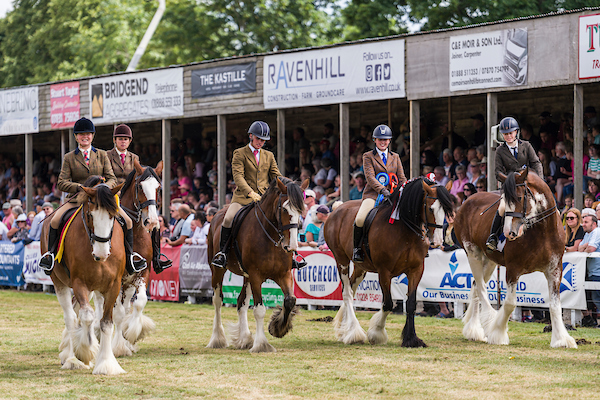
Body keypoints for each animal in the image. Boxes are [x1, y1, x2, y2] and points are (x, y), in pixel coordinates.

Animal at [41, 181, 128, 376]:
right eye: (90, 215)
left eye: (113, 216)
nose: (101, 253)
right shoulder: (79, 283)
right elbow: (87, 316)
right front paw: (85, 351)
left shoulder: (113, 285)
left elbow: (106, 323)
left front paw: (106, 363)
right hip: (60, 283)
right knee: (71, 317)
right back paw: (71, 358)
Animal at [207, 177, 310, 352]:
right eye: (284, 209)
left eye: (301, 210)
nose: (292, 246)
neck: (271, 236)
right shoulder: (256, 276)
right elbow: (259, 310)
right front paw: (261, 344)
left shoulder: (284, 274)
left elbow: (290, 300)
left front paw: (278, 328)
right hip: (217, 271)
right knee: (218, 301)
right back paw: (217, 339)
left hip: (246, 276)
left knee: (241, 302)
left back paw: (245, 339)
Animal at [326, 178, 452, 346]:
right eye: (431, 209)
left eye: (446, 210)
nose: (437, 242)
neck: (405, 229)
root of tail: (337, 210)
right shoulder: (384, 272)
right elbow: (388, 304)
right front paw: (376, 333)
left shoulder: (416, 270)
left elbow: (410, 304)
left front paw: (411, 339)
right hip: (341, 260)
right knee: (347, 293)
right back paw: (353, 332)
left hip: (361, 267)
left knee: (351, 289)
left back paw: (344, 329)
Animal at [454, 166, 576, 346]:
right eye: (504, 200)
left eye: (519, 197)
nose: (508, 233)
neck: (542, 231)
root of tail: (468, 200)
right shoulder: (513, 269)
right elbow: (510, 303)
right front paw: (498, 333)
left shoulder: (555, 270)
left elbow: (555, 305)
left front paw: (561, 339)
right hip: (472, 253)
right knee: (481, 288)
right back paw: (485, 323)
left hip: (489, 261)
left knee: (476, 285)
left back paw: (473, 331)